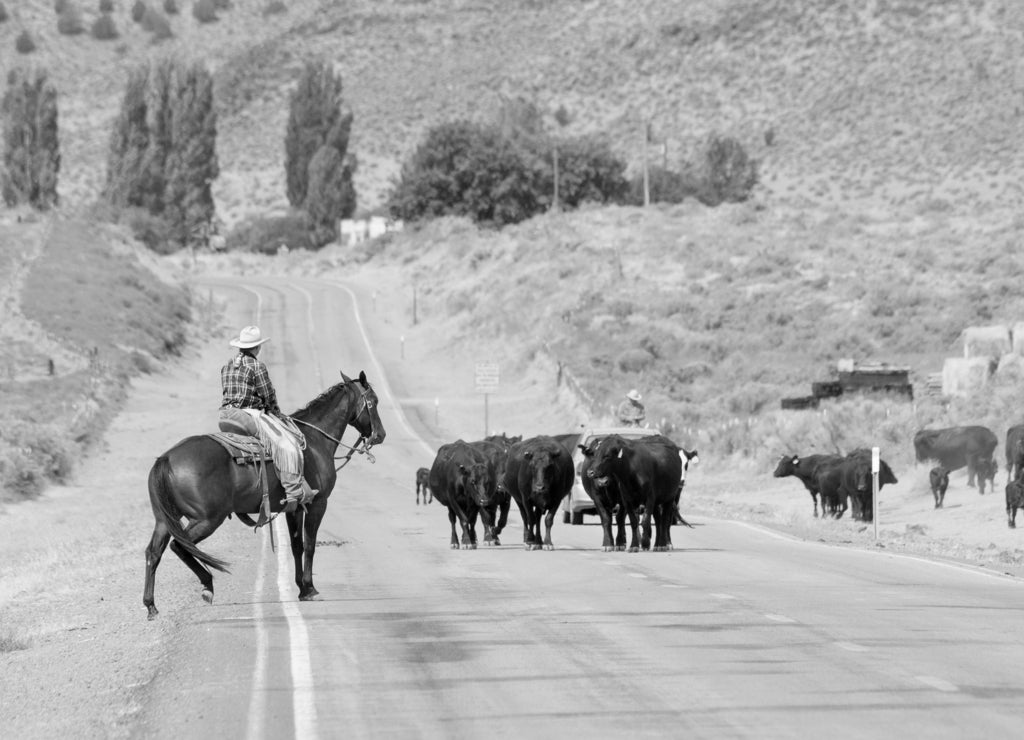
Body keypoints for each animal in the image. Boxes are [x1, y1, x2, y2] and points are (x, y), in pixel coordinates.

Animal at [141, 370, 385, 618]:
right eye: (373, 402)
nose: (380, 435)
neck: (314, 441)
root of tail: (166, 458)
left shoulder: (294, 508)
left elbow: (296, 546)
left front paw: (301, 588)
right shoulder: (318, 503)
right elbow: (310, 545)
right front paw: (310, 588)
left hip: (165, 520)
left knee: (154, 552)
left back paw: (152, 605)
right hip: (206, 519)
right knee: (179, 546)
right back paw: (207, 585)